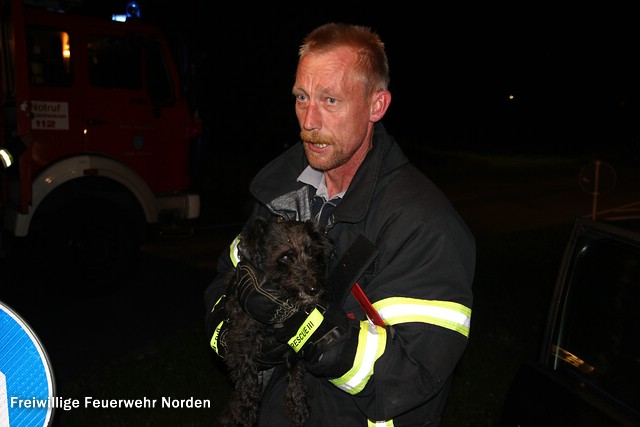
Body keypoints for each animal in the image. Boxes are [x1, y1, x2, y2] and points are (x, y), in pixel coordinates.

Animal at [219, 219, 332, 426]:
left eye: (312, 252)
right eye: (285, 257)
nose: (313, 289)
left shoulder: (293, 341)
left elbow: (295, 372)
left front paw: (297, 404)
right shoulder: (241, 338)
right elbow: (247, 372)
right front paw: (246, 407)